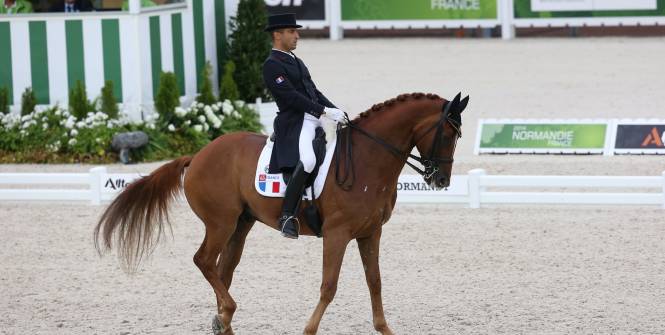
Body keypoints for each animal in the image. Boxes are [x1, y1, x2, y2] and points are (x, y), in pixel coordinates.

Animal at [94, 92, 466, 335]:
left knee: (222, 270)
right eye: (448, 133)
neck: (366, 160)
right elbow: (329, 286)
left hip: (240, 225)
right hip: (220, 222)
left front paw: (384, 328)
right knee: (204, 261)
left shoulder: (371, 232)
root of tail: (197, 155)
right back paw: (225, 314)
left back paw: (222, 322)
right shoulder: (338, 234)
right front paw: (309, 328)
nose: (441, 180)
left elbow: (374, 281)